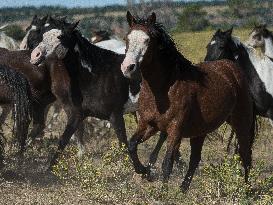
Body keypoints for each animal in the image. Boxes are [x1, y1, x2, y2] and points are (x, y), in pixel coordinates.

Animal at [120, 10, 254, 191]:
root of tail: (232, 68)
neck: (163, 89)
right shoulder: (149, 124)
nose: (128, 67)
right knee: (195, 159)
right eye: (127, 38)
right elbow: (132, 145)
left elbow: (167, 163)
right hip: (200, 131)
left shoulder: (175, 129)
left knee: (245, 155)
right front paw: (145, 171)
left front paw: (162, 191)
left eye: (147, 40)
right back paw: (183, 189)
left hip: (241, 123)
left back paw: (246, 190)